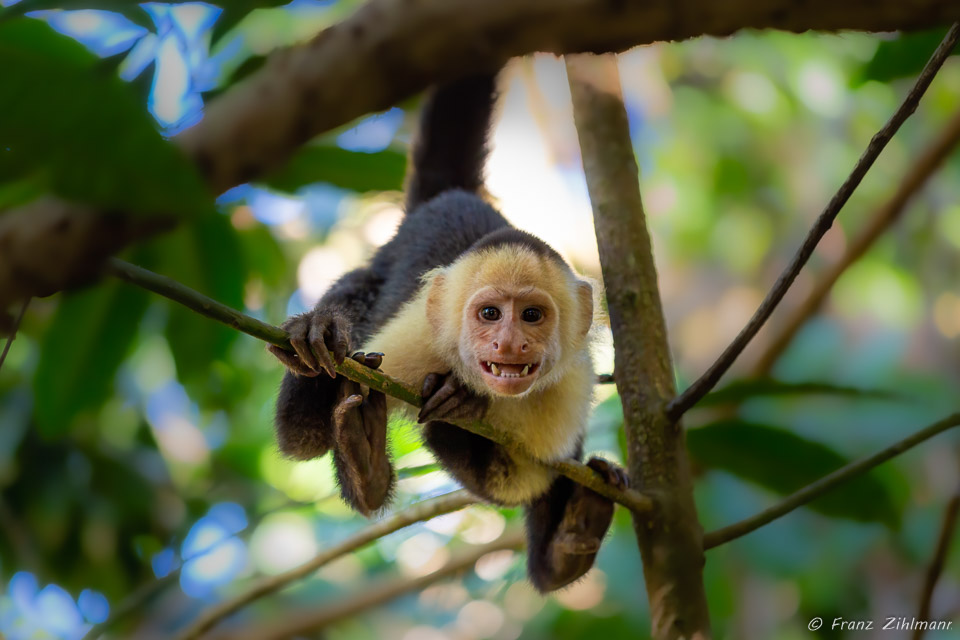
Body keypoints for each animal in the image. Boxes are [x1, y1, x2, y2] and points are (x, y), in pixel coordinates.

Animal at [272, 69, 632, 592]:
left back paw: (569, 541)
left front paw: (459, 406)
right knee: (359, 291)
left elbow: (522, 482)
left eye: (532, 315)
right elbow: (300, 439)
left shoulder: (567, 385)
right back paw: (365, 460)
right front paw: (323, 342)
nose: (509, 342)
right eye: (490, 315)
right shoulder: (414, 337)